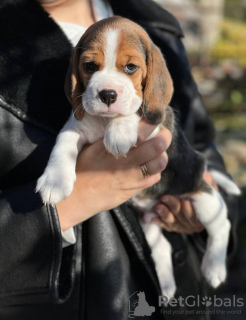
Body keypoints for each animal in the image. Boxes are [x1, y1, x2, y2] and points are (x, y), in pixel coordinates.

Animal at [36, 16, 236, 298]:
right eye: (89, 66)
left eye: (130, 67)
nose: (107, 94)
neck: (104, 122)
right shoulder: (76, 126)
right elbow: (62, 143)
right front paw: (54, 181)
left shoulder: (159, 121)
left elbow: (135, 109)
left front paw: (119, 132)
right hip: (148, 222)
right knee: (162, 246)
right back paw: (166, 285)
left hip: (201, 198)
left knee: (221, 224)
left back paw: (214, 268)